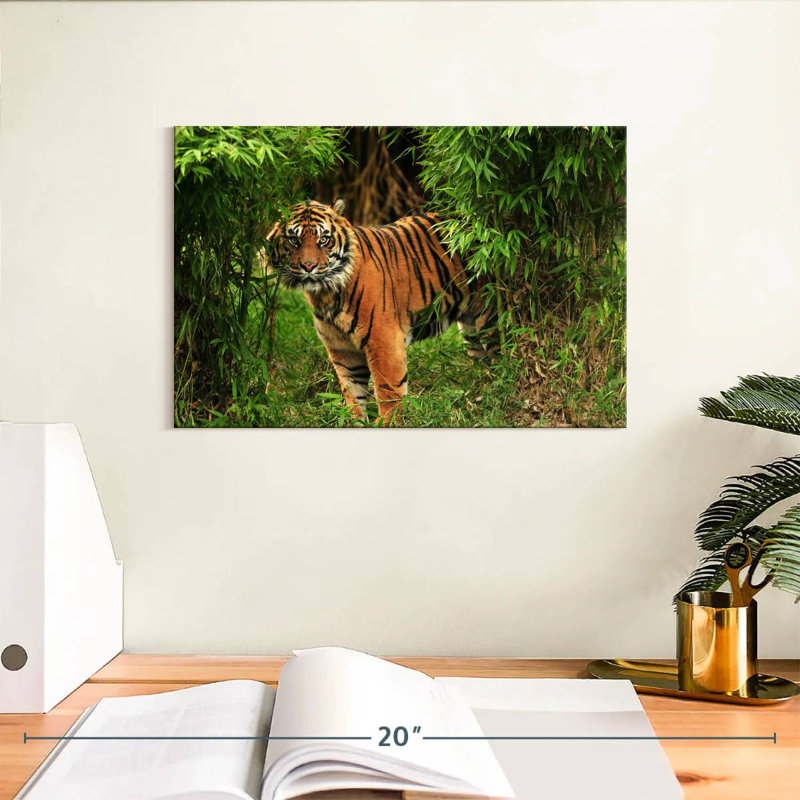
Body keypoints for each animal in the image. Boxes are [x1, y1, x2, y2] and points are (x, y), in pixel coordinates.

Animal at [269, 199, 491, 423]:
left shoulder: (384, 339)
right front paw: (354, 422)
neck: (326, 294)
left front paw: (387, 422)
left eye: (323, 240)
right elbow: (352, 392)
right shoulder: (342, 348)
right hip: (471, 328)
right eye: (293, 240)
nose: (308, 266)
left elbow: (388, 390)